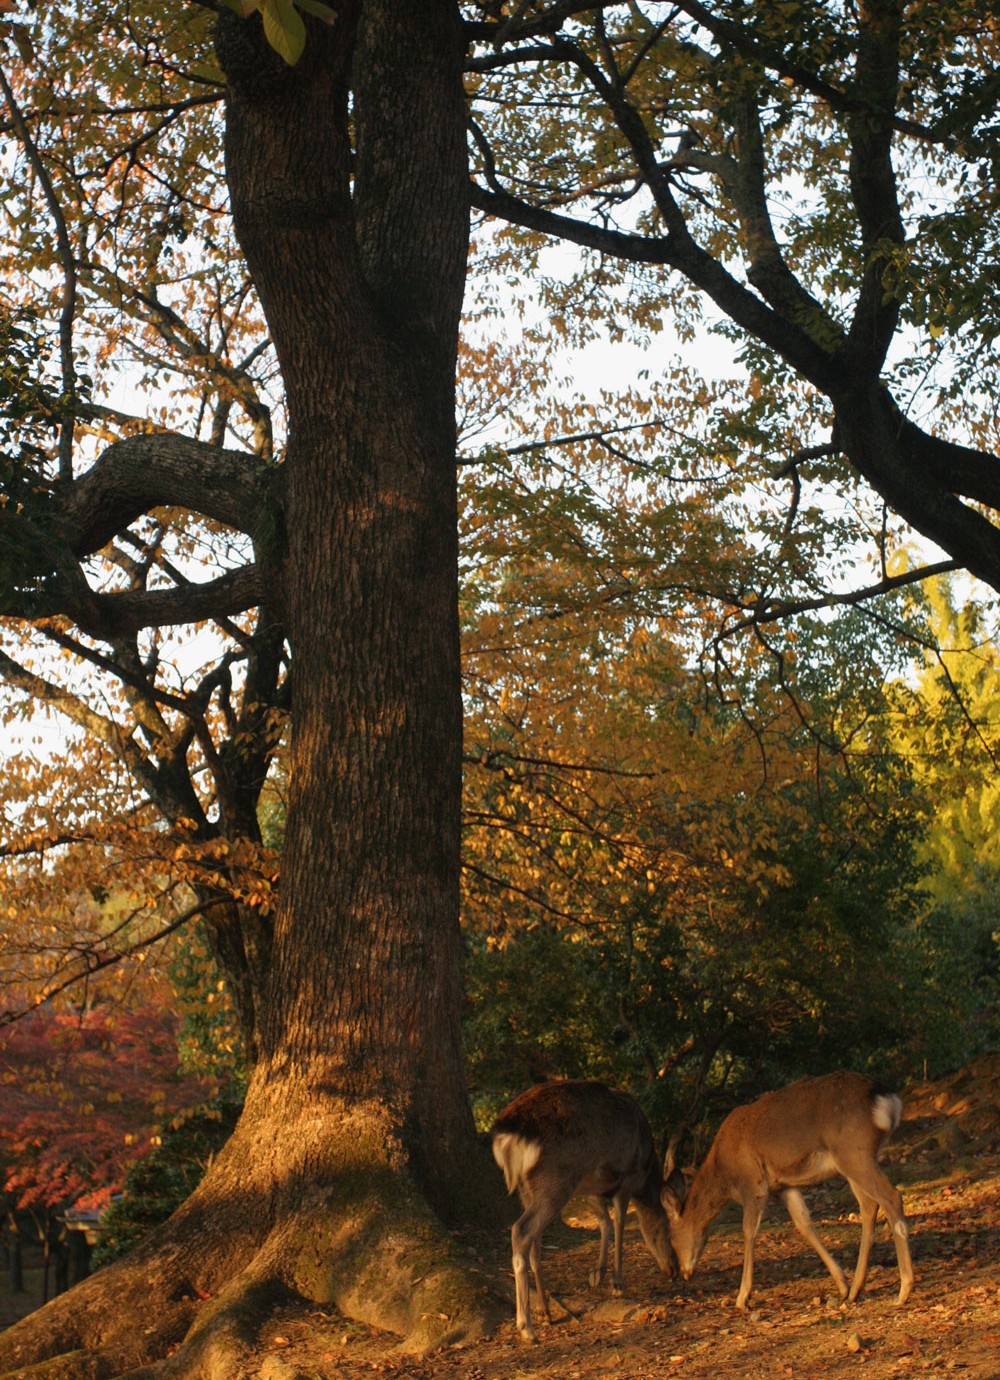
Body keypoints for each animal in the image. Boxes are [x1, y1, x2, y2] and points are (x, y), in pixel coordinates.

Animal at [488, 1081, 681, 1341]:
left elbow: (604, 1222)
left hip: (527, 1188)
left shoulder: (592, 1188)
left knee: (533, 1240)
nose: (674, 1269)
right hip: (556, 1181)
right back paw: (526, 1327)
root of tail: (508, 1133)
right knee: (521, 1230)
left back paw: (544, 1310)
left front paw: (597, 1273)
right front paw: (617, 1283)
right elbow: (619, 1222)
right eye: (667, 1230)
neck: (647, 1172)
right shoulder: (626, 1179)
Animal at [662, 1070, 910, 1308]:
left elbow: (748, 1231)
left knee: (891, 1197)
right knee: (869, 1206)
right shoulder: (783, 1186)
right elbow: (803, 1224)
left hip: (854, 1152)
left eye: (672, 1240)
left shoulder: (753, 1184)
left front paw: (742, 1298)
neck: (724, 1173)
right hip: (853, 1161)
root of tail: (888, 1098)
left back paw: (904, 1290)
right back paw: (855, 1291)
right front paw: (842, 1285)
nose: (683, 1273)